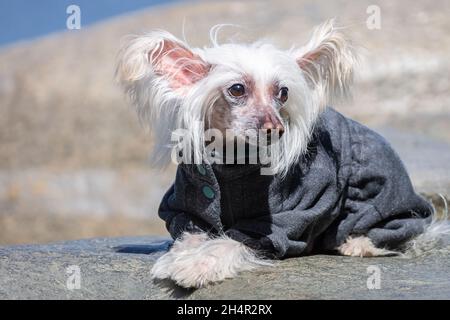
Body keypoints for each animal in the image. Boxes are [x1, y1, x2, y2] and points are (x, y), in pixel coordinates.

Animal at [117, 20, 450, 290]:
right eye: (237, 89)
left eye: (284, 93)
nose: (275, 129)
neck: (233, 161)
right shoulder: (186, 208)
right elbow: (193, 232)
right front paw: (181, 256)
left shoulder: (286, 216)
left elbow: (230, 242)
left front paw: (197, 264)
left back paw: (357, 243)